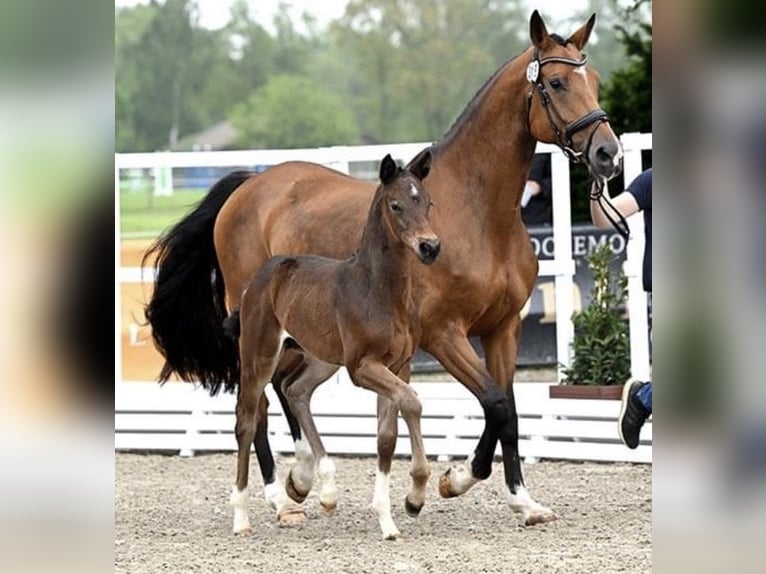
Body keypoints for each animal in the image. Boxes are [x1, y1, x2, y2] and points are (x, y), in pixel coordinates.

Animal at [230, 153, 438, 540]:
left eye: (428, 202)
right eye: (396, 204)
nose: (430, 247)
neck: (378, 290)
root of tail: (262, 276)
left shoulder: (397, 365)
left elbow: (387, 434)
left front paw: (396, 512)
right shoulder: (362, 367)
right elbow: (411, 402)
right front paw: (413, 497)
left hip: (320, 358)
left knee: (295, 390)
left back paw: (325, 491)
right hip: (259, 356)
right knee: (247, 420)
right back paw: (241, 518)